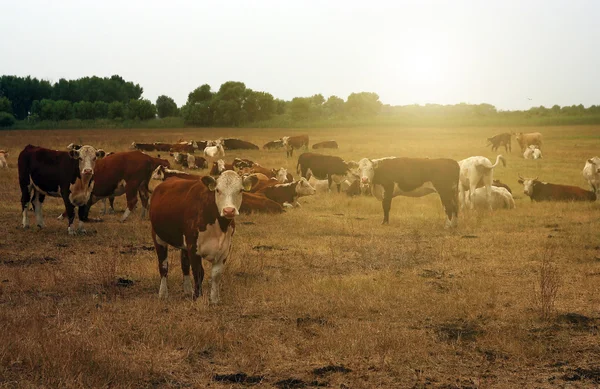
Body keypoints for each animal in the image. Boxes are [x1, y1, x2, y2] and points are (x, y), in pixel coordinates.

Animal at [149, 171, 256, 304]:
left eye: (240, 190)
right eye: (217, 190)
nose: (229, 210)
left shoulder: (225, 248)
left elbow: (216, 274)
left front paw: (214, 299)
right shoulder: (193, 246)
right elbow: (198, 272)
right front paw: (198, 298)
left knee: (184, 265)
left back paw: (187, 290)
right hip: (158, 236)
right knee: (163, 266)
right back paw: (163, 293)